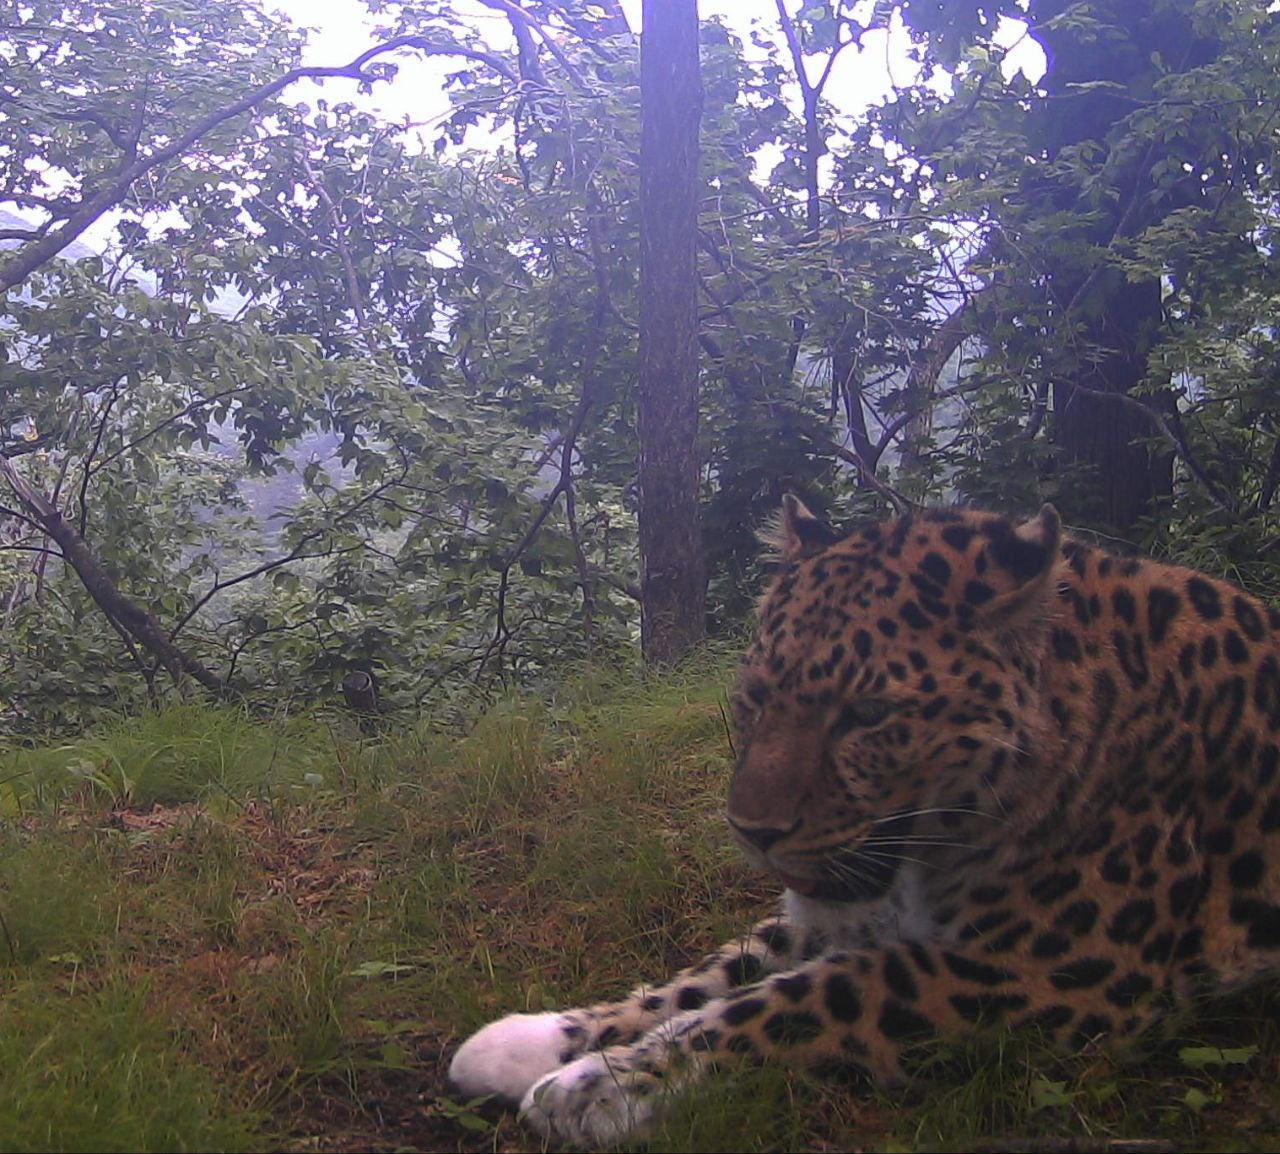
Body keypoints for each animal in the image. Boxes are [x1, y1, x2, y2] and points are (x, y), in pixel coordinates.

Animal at [448, 496, 1280, 1146]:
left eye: (869, 715)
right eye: (755, 696)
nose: (752, 830)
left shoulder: (1062, 974)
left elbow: (816, 991)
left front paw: (602, 1087)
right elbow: (712, 973)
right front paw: (535, 1041)